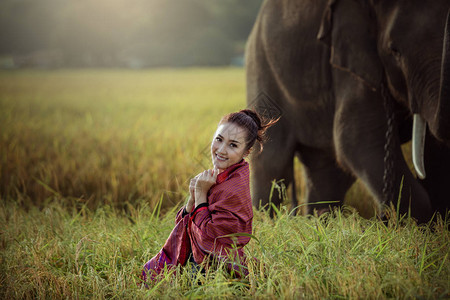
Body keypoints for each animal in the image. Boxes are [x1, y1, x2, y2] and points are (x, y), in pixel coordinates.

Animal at [246, 0, 450, 221]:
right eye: (394, 50)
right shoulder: (351, 61)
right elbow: (358, 140)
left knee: (328, 173)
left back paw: (319, 220)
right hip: (261, 67)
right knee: (272, 165)